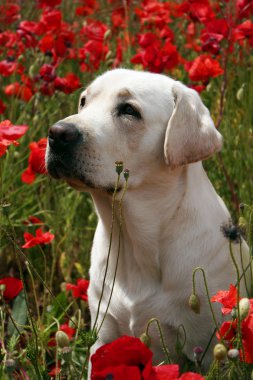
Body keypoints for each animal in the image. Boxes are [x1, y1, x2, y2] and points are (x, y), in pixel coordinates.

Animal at [46, 70, 249, 366]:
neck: (131, 239)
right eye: (83, 101)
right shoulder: (103, 333)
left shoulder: (208, 343)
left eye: (129, 110)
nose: (57, 134)